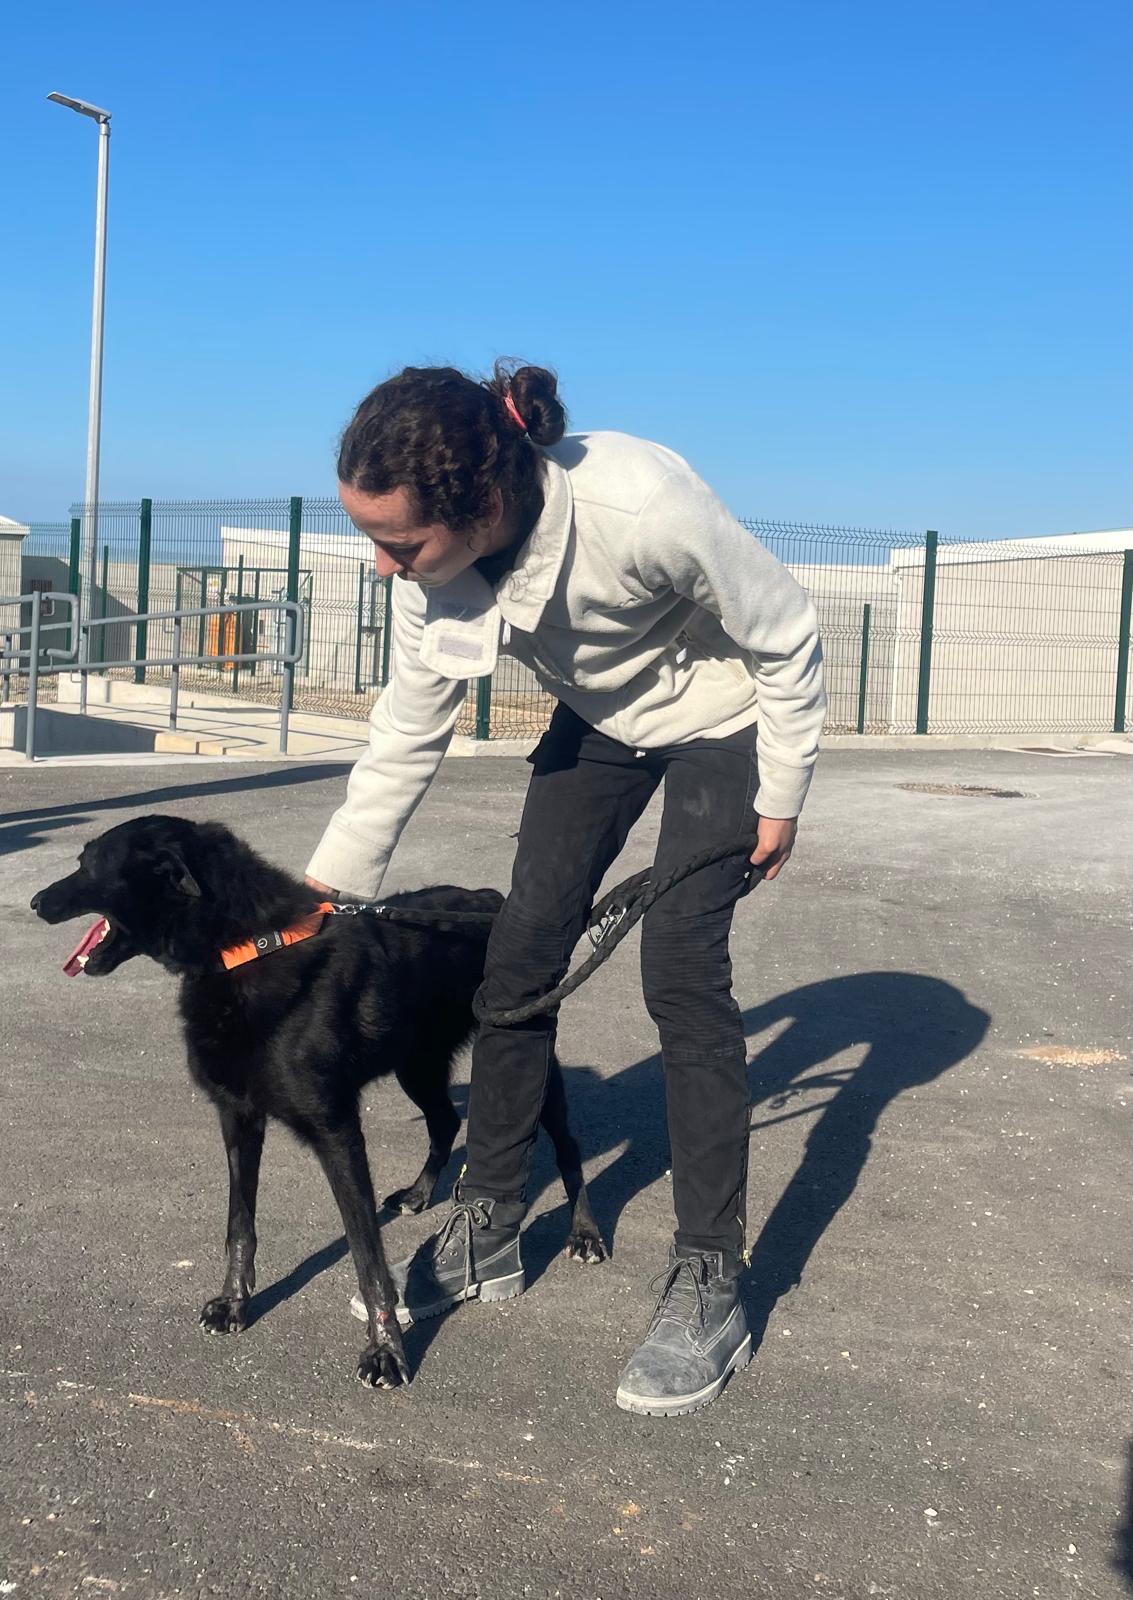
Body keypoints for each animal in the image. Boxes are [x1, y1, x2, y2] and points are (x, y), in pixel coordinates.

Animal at [31, 814, 606, 1390]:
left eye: (90, 864)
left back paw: (585, 1233)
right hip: (416, 1064)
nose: (36, 902)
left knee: (567, 1145)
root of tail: (489, 899)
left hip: (529, 1056)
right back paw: (421, 1193)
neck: (245, 946)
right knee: (444, 1121)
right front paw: (235, 1303)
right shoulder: (239, 1117)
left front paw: (386, 1349)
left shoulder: (336, 1131)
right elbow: (240, 1224)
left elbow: (367, 1255)